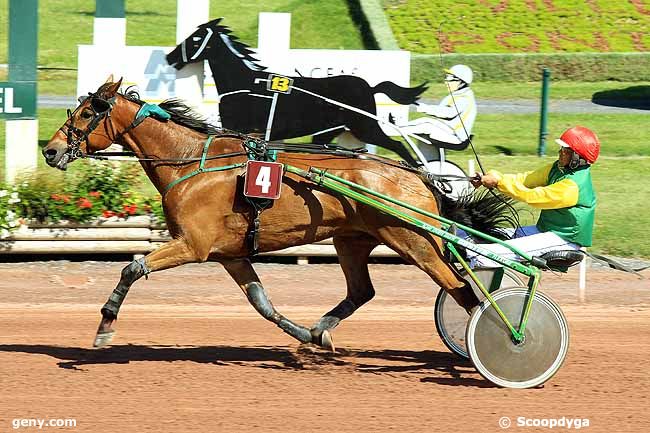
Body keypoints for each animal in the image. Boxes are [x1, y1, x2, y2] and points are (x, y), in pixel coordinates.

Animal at [43, 76, 512, 350]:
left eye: (86, 113)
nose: (49, 150)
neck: (193, 162)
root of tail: (420, 177)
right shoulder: (230, 254)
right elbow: (262, 305)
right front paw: (306, 335)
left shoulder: (192, 245)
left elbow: (132, 268)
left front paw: (105, 326)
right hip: (352, 239)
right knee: (363, 291)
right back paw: (321, 331)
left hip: (415, 241)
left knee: (460, 288)